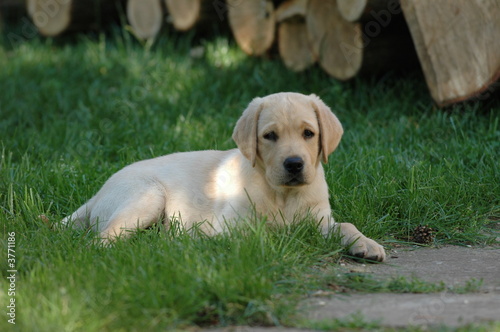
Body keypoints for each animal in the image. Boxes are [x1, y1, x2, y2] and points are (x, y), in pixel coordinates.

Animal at [62, 92, 386, 260]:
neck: (282, 194)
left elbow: (345, 225)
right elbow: (265, 234)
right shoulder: (231, 227)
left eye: (309, 133)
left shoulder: (319, 220)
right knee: (102, 239)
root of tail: (97, 195)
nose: (294, 164)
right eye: (270, 136)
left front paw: (365, 244)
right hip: (147, 196)